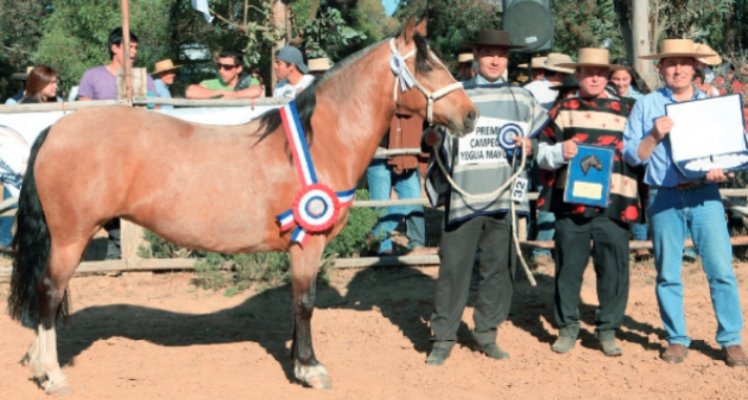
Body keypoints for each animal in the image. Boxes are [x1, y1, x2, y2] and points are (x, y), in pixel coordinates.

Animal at [5, 18, 476, 394]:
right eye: (427, 65)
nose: (470, 116)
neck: (318, 143)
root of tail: (55, 130)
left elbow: (296, 303)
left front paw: (298, 362)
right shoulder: (308, 244)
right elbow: (306, 302)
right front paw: (311, 369)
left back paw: (38, 365)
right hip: (72, 237)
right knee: (49, 293)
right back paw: (53, 376)